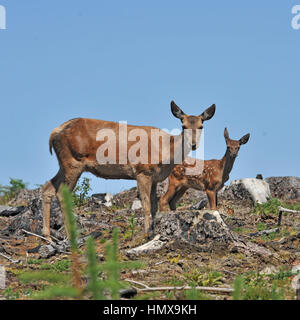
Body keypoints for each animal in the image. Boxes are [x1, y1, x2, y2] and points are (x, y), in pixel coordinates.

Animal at [42, 101, 216, 239]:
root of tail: (53, 133)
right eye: (183, 126)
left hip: (64, 164)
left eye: (201, 126)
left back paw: (48, 236)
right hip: (73, 162)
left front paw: (154, 229)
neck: (166, 151)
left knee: (47, 188)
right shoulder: (142, 171)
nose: (193, 144)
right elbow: (146, 204)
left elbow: (154, 205)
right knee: (61, 193)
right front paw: (146, 232)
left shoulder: (154, 177)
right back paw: (70, 235)